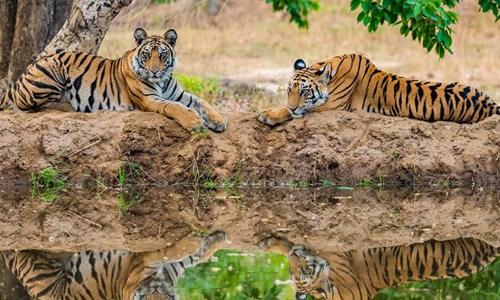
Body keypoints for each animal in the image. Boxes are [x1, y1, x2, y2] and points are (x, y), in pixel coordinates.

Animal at [0, 27, 227, 132]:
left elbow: (201, 101)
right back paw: (70, 107)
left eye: (162, 55)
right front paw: (195, 122)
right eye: (147, 55)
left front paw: (218, 120)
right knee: (31, 108)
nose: (154, 71)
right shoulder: (149, 100)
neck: (162, 80)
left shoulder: (179, 94)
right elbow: (174, 107)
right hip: (52, 69)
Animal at [258, 53, 500, 126]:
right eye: (289, 91)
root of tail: (493, 105)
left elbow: (295, 111)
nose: (293, 106)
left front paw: (267, 114)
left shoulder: (333, 106)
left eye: (304, 92)